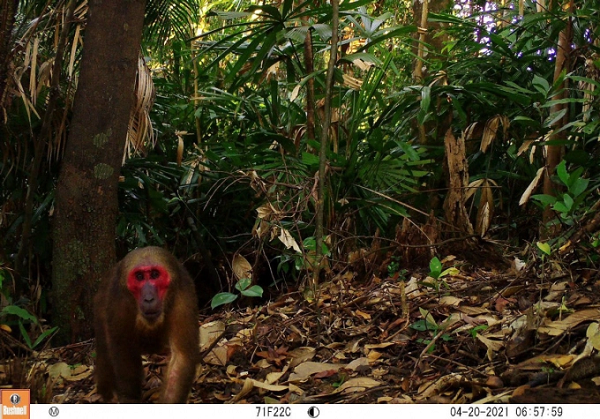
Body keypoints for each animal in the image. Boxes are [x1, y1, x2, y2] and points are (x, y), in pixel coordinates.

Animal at [92, 246, 198, 404]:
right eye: (140, 277)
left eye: (154, 275)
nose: (148, 299)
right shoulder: (118, 301)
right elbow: (124, 352)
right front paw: (129, 398)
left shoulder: (183, 297)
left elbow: (181, 357)